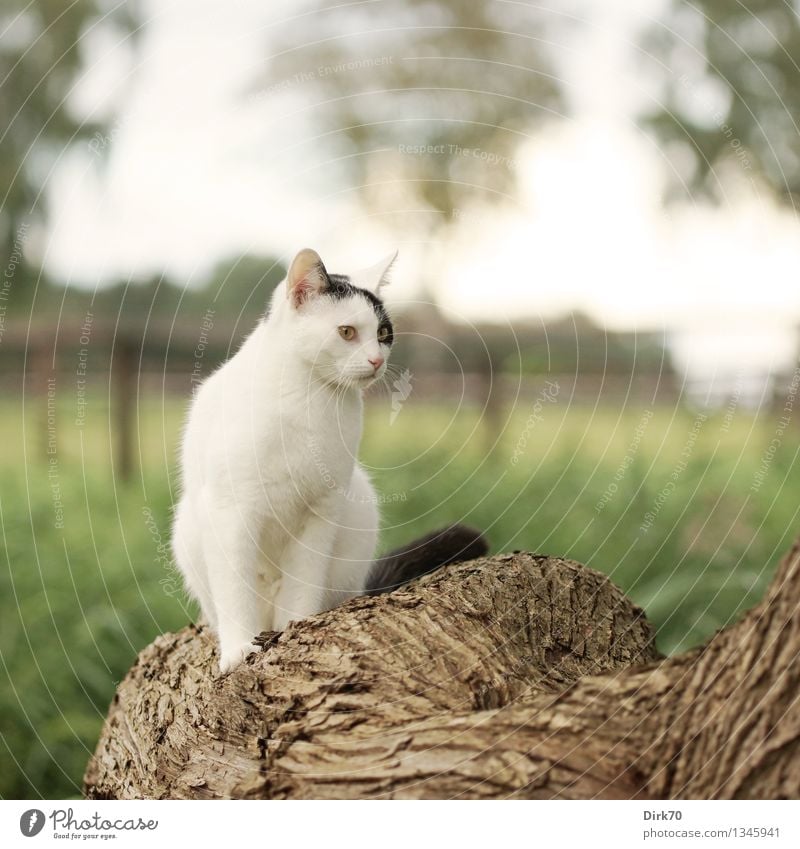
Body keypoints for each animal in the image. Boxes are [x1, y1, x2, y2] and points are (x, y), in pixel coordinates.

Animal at [173, 248, 488, 672]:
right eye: (347, 332)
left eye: (383, 334)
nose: (376, 360)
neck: (308, 398)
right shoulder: (230, 512)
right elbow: (235, 590)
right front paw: (238, 650)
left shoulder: (321, 510)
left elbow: (303, 582)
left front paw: (297, 627)